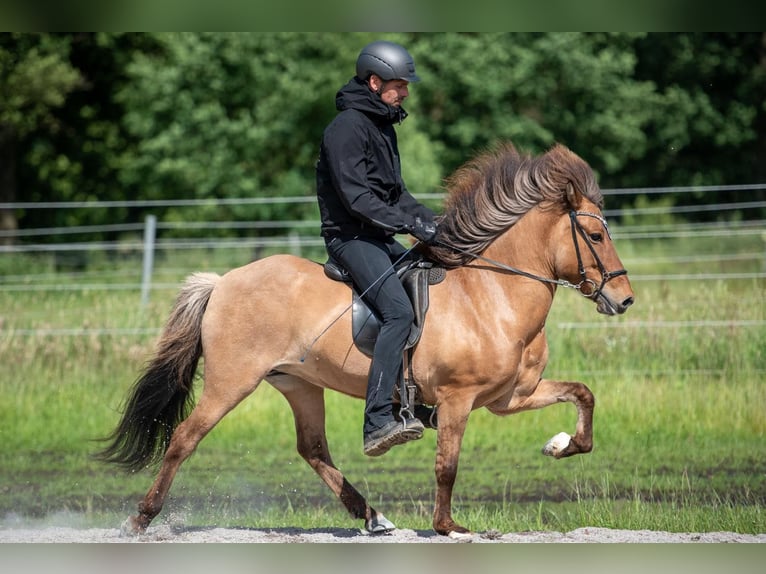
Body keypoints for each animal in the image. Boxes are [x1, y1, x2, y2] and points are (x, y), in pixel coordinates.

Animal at [96, 143, 636, 540]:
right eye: (594, 236)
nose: (624, 299)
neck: (491, 293)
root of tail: (223, 281)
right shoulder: (458, 399)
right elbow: (447, 465)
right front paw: (448, 527)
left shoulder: (510, 398)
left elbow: (583, 393)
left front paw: (561, 445)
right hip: (231, 382)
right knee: (184, 439)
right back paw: (140, 518)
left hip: (298, 383)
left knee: (313, 449)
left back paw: (372, 516)